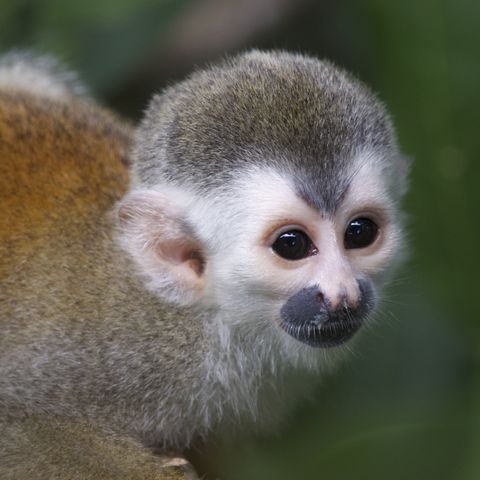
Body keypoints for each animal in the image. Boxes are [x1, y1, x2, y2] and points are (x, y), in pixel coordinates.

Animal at [0, 50, 408, 478]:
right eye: (292, 245)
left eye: (359, 233)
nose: (342, 293)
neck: (204, 320)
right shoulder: (106, 353)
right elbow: (16, 425)